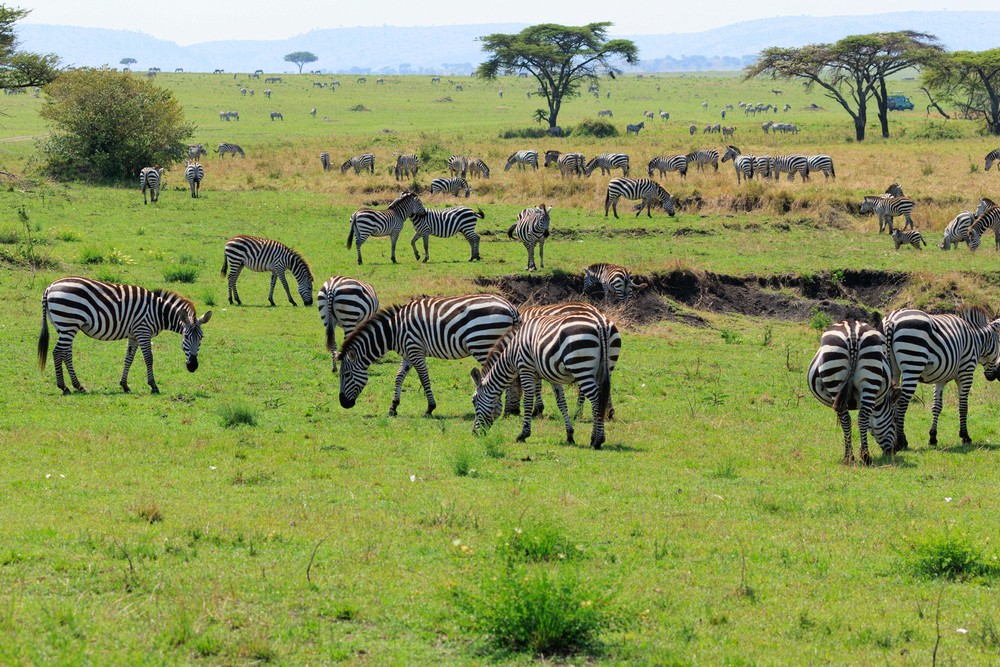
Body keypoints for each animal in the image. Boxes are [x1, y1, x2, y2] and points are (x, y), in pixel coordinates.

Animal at [37, 277, 212, 395]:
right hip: (68, 323)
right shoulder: (143, 331)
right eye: (186, 337)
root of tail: (50, 287)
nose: (193, 366)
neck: (158, 312)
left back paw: (78, 386)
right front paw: (153, 386)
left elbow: (129, 359)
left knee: (66, 354)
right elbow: (149, 358)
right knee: (57, 353)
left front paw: (124, 385)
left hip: (65, 327)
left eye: (201, 338)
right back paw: (64, 387)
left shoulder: (134, 335)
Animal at [338, 294, 520, 416]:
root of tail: (510, 307)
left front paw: (430, 408)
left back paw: (504, 411)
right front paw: (393, 407)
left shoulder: (415, 350)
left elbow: (424, 378)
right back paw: (510, 411)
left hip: (483, 344)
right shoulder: (408, 353)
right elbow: (399, 377)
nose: (343, 404)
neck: (394, 330)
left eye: (346, 375)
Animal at [471, 313, 613, 449]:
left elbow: (528, 401)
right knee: (600, 401)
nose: (474, 433)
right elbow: (561, 403)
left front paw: (523, 434)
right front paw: (569, 435)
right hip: (600, 370)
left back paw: (598, 441)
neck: (511, 353)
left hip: (581, 367)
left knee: (596, 400)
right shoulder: (552, 376)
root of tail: (600, 323)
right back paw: (593, 438)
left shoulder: (526, 369)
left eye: (474, 401)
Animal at [806, 320, 897, 464]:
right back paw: (863, 456)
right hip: (869, 376)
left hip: (837, 379)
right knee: (861, 417)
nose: (895, 449)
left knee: (846, 418)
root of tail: (852, 330)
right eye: (894, 418)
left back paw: (850, 456)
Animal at [883, 307, 1000, 449]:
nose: (994, 376)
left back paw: (894, 442)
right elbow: (963, 406)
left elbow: (937, 407)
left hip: (892, 369)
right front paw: (965, 437)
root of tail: (891, 320)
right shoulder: (966, 372)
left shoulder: (940, 378)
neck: (976, 339)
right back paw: (902, 441)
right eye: (999, 343)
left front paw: (933, 437)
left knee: (892, 402)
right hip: (913, 364)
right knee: (901, 403)